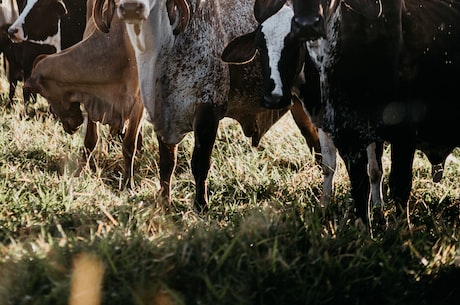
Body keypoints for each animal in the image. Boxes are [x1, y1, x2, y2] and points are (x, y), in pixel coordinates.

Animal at [22, 2, 142, 188]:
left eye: (47, 96)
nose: (69, 128)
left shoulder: (138, 104)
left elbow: (129, 145)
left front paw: (129, 183)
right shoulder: (92, 99)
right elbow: (90, 141)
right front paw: (80, 173)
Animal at [91, 0, 328, 211]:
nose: (132, 7)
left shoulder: (208, 112)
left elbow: (200, 163)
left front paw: (201, 205)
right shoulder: (163, 115)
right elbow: (167, 163)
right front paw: (164, 201)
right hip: (299, 108)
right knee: (316, 145)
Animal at [221, 1, 386, 208]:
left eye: (295, 42)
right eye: (259, 45)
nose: (274, 98)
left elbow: (374, 170)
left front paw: (378, 207)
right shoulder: (322, 121)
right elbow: (328, 164)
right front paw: (324, 205)